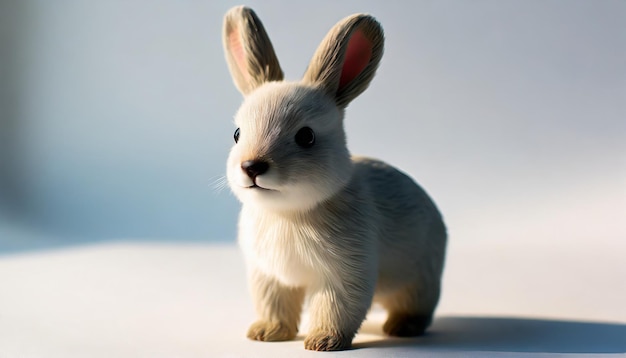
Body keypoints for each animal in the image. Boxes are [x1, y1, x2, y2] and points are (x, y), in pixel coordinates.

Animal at [222, 5, 446, 352]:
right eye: (237, 134)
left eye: (306, 136)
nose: (252, 166)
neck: (288, 214)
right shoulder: (269, 277)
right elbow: (274, 307)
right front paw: (266, 334)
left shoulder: (343, 275)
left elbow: (336, 309)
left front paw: (323, 342)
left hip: (418, 277)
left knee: (418, 304)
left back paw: (402, 327)